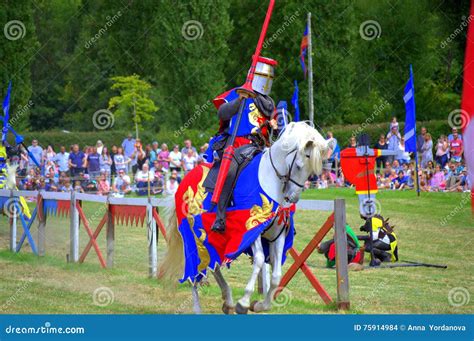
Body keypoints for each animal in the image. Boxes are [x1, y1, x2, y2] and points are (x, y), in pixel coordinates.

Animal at [161, 121, 328, 312]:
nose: (292, 197)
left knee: (213, 265)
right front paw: (244, 302)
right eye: (299, 165)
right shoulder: (250, 229)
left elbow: (276, 275)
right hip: (193, 237)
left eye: (312, 171)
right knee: (195, 273)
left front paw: (260, 304)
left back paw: (227, 300)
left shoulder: (277, 235)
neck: (269, 180)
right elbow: (260, 259)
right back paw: (199, 308)